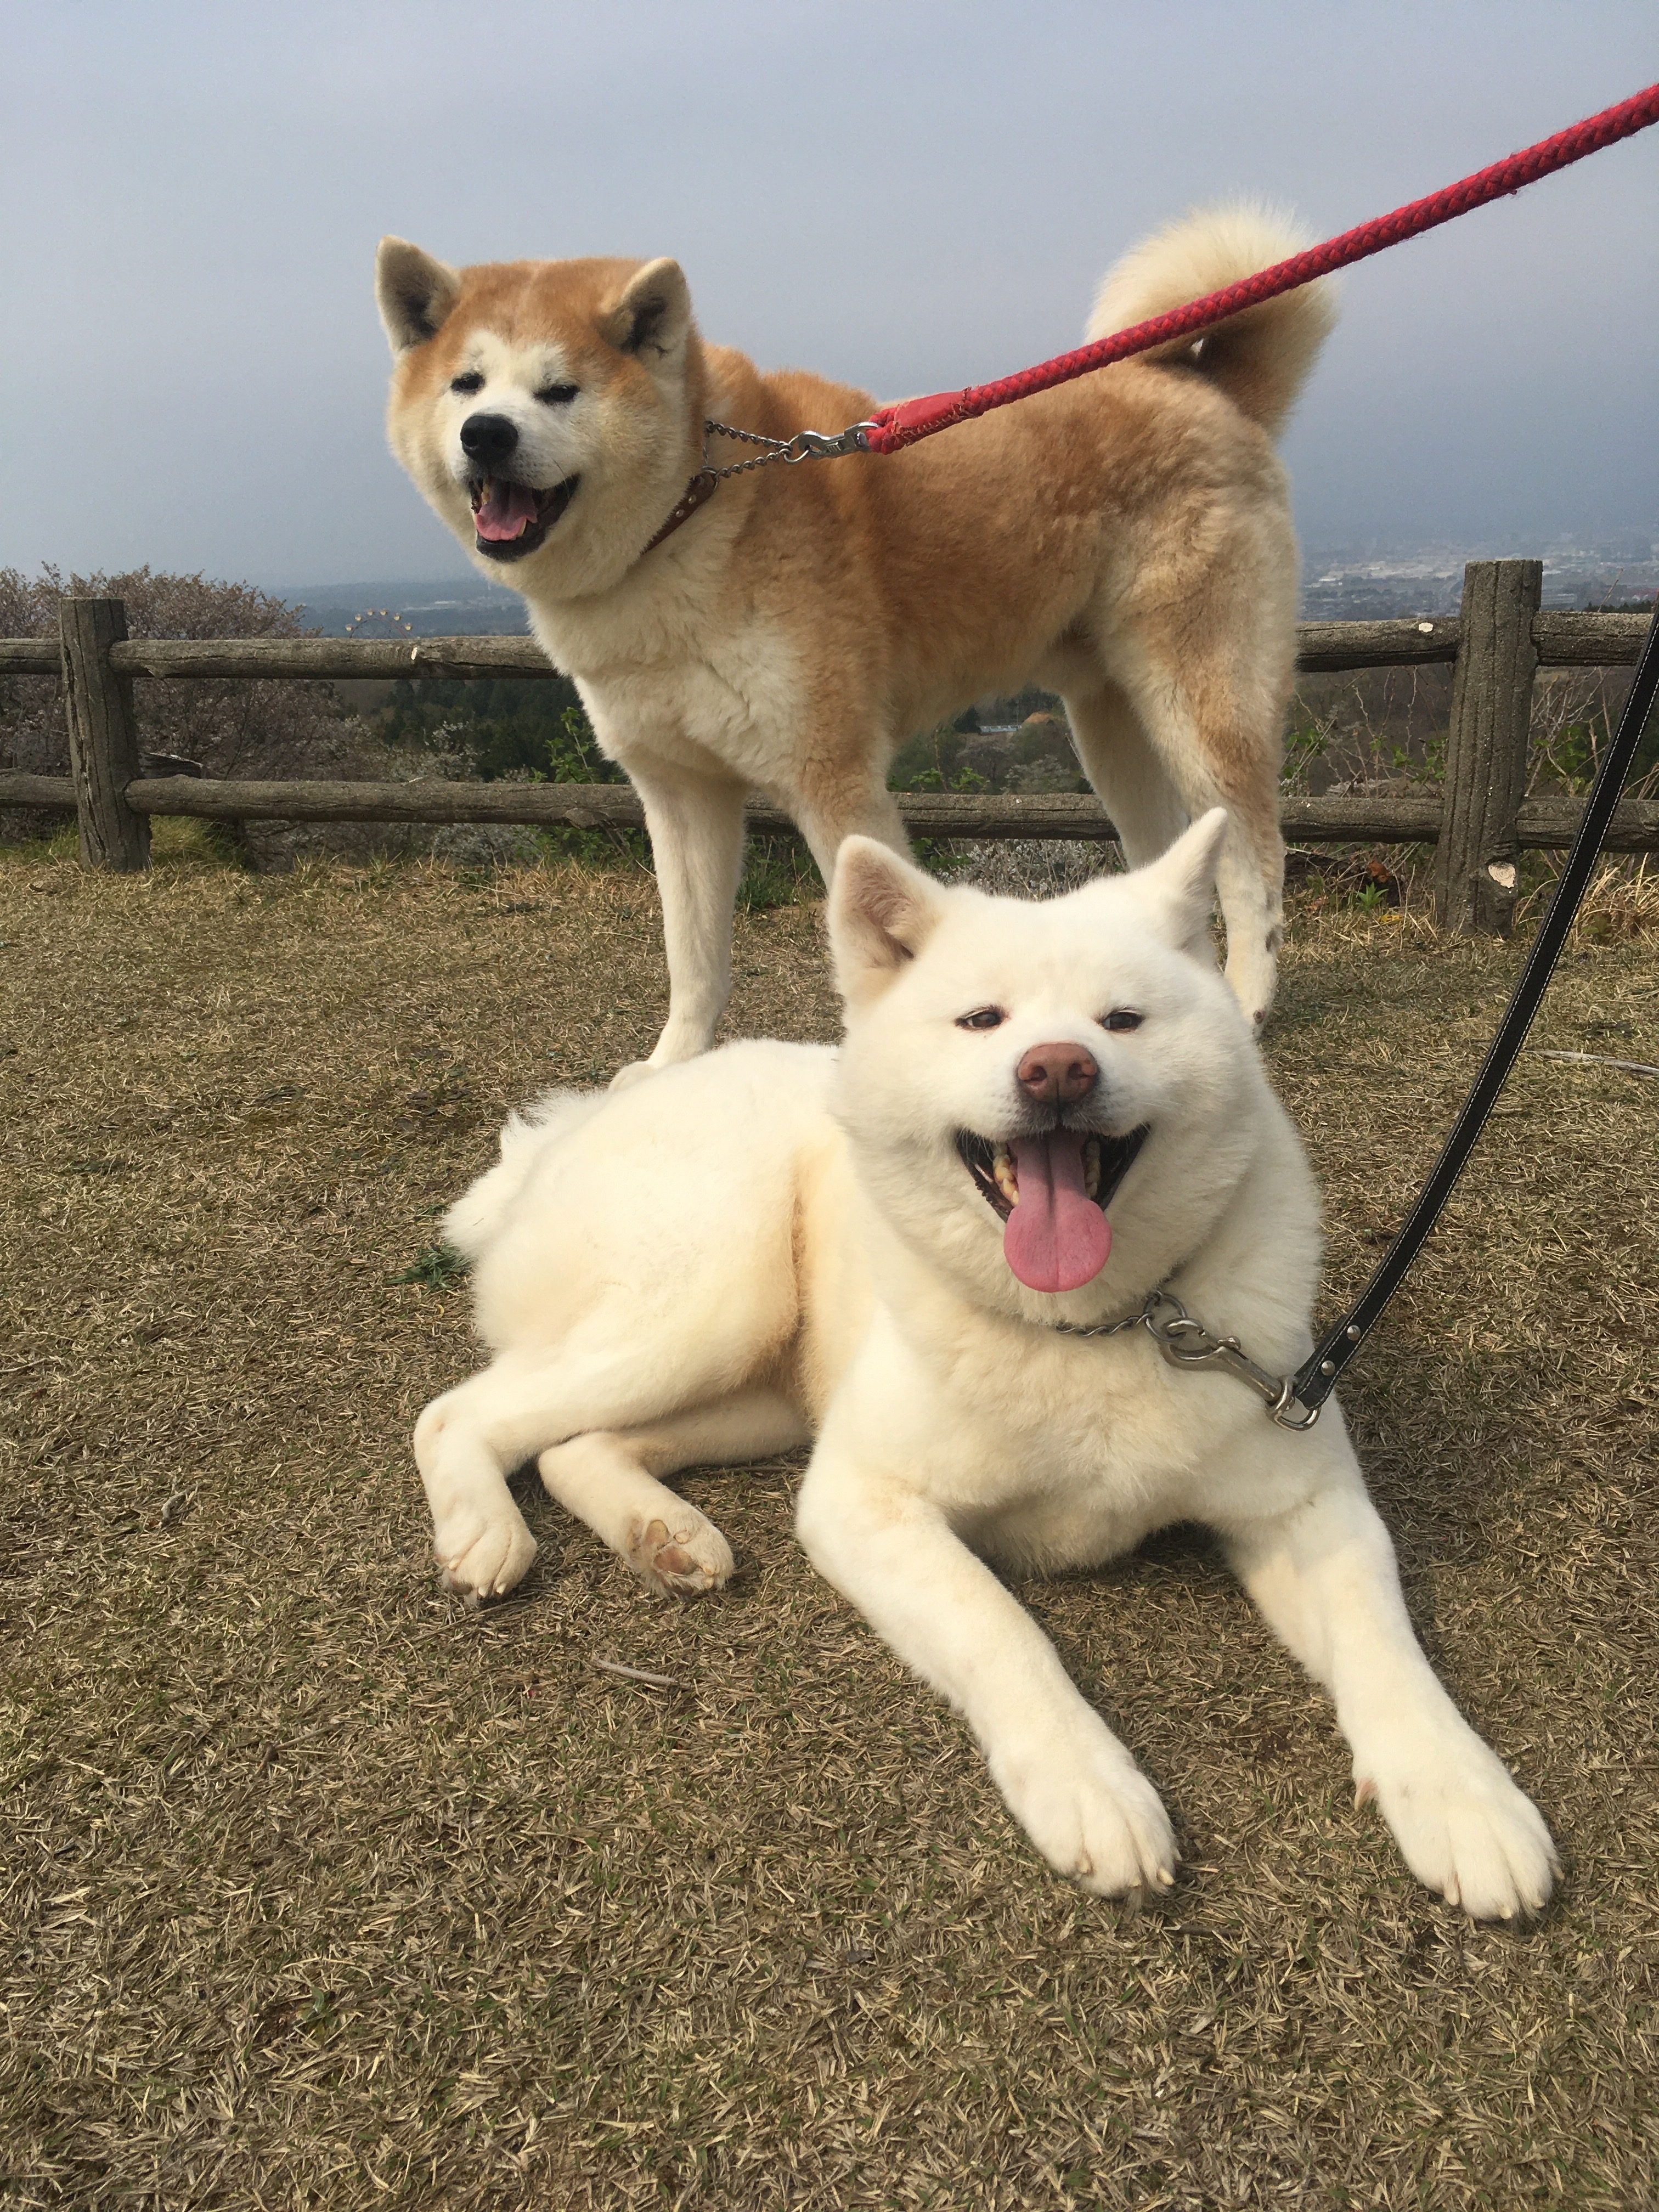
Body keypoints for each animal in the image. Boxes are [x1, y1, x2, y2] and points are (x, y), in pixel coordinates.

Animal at [380, 208, 1336, 1079]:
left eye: (560, 391)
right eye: (467, 384)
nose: (486, 434)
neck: (690, 511)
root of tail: (1212, 393)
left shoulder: (831, 782)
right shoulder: (682, 794)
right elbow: (694, 958)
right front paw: (674, 1067)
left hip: (1198, 701)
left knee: (1255, 860)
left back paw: (1246, 1001)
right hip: (1109, 726)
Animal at [416, 818, 1557, 1920]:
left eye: (1122, 1020)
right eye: (980, 1020)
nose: (1056, 1068)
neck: (1092, 1326)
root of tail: (572, 1127)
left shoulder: (1308, 1506)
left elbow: (1386, 1649)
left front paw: (1464, 1800)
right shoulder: (861, 1501)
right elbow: (1003, 1632)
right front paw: (1090, 1786)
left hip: (762, 1392)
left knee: (573, 1445)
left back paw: (663, 1535)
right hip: (714, 1300)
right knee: (455, 1413)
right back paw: (485, 1534)